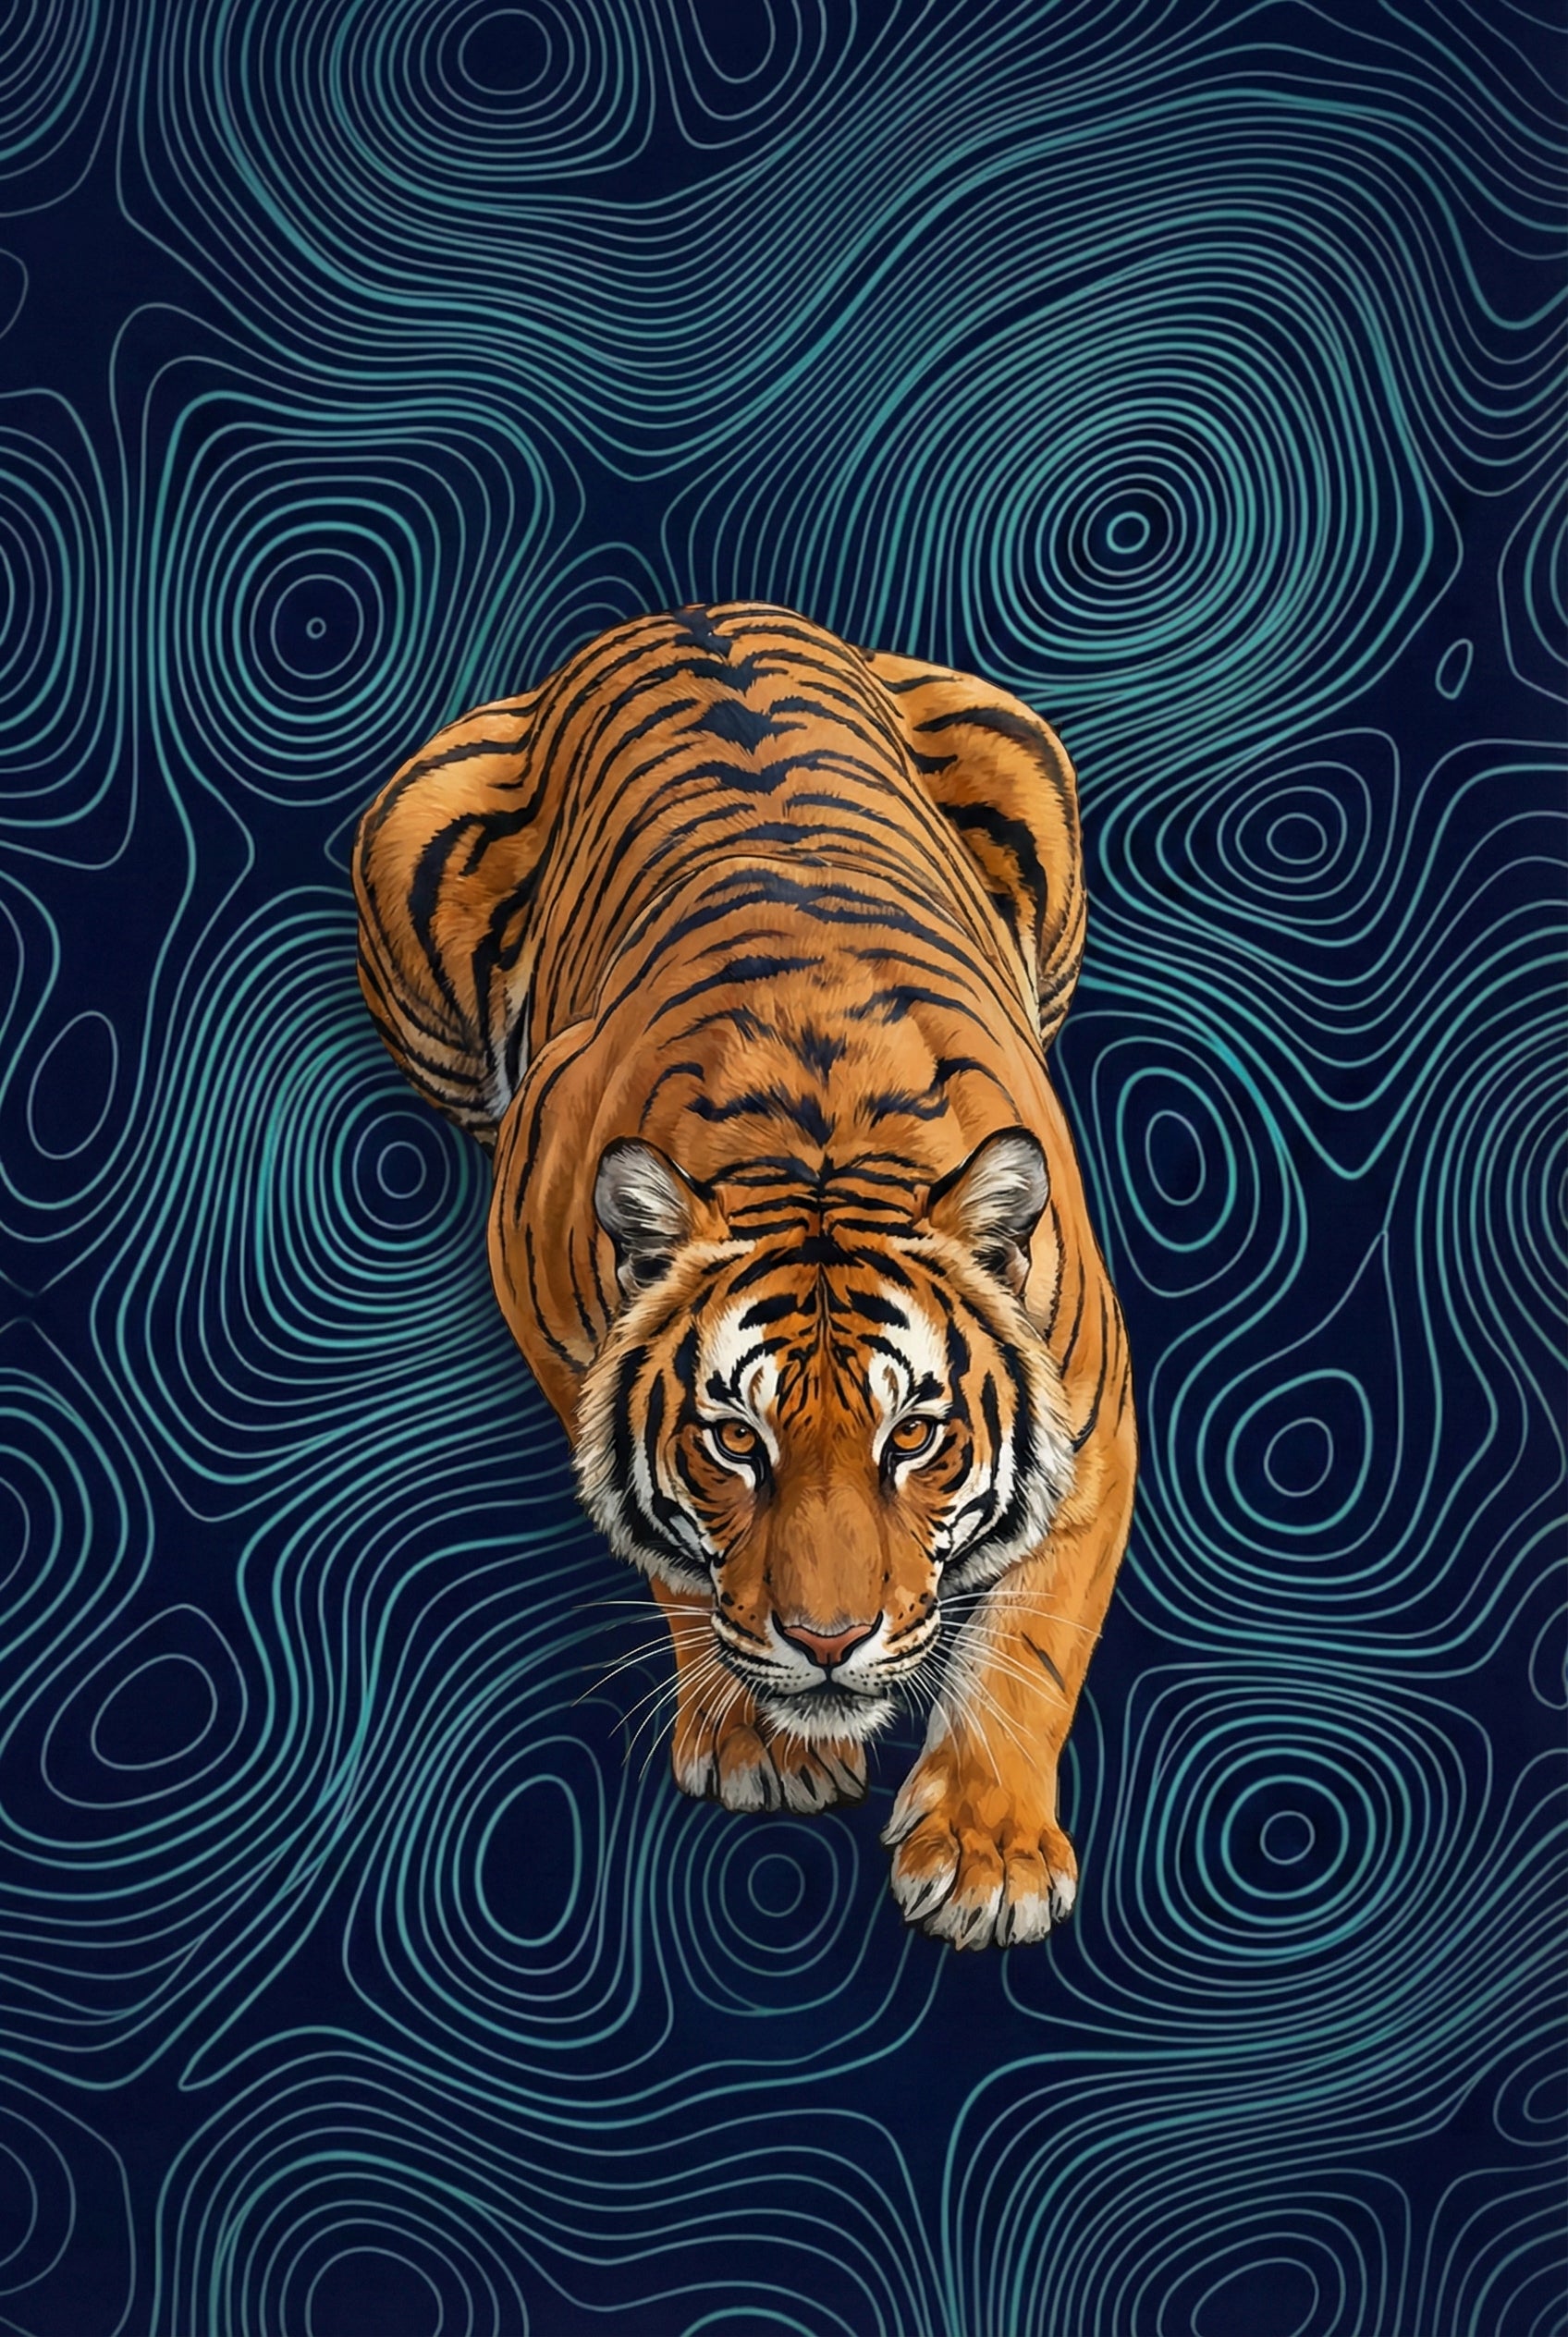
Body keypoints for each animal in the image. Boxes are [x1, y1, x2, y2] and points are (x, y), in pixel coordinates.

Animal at [353, 601, 1135, 1950]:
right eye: (733, 1440)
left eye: (914, 1437)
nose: (827, 1642)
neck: (822, 1148)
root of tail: (682, 611)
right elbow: (675, 1557)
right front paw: (763, 1741)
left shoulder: (1092, 1415)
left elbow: (1032, 1638)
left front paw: (987, 1858)